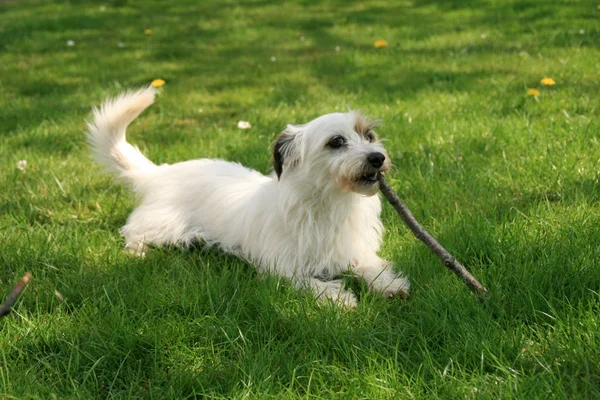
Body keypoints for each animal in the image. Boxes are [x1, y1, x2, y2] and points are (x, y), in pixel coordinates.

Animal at [86, 87, 410, 306]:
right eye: (337, 142)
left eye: (369, 136)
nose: (378, 157)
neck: (331, 201)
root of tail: (161, 173)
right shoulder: (282, 267)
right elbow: (310, 282)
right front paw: (338, 298)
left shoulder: (353, 249)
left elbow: (370, 266)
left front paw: (389, 284)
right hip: (165, 226)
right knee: (133, 230)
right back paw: (137, 250)